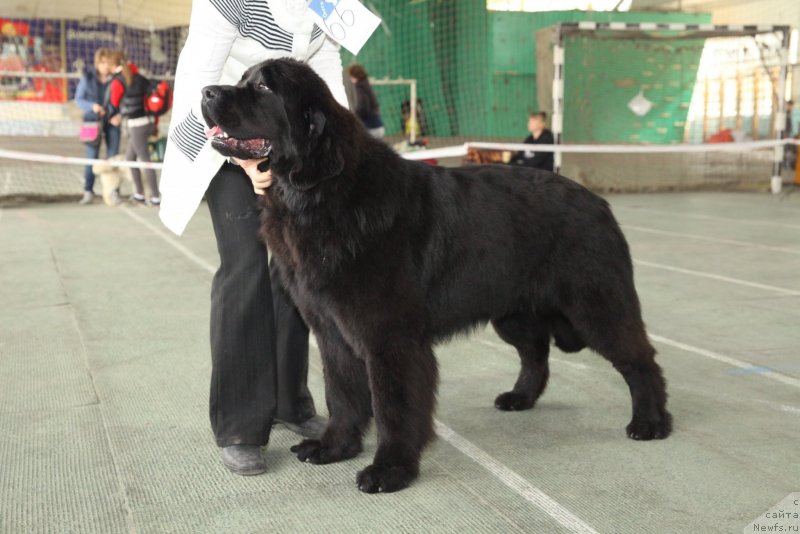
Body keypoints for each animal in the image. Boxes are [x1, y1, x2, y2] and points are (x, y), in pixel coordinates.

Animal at [200, 58, 668, 494]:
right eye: (242, 79)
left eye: (263, 88)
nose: (206, 91)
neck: (318, 194)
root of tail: (598, 202)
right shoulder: (332, 331)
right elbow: (343, 394)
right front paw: (335, 447)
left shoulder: (390, 337)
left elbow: (393, 406)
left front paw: (390, 470)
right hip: (512, 311)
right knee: (536, 352)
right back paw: (520, 397)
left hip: (596, 304)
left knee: (639, 358)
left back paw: (651, 422)